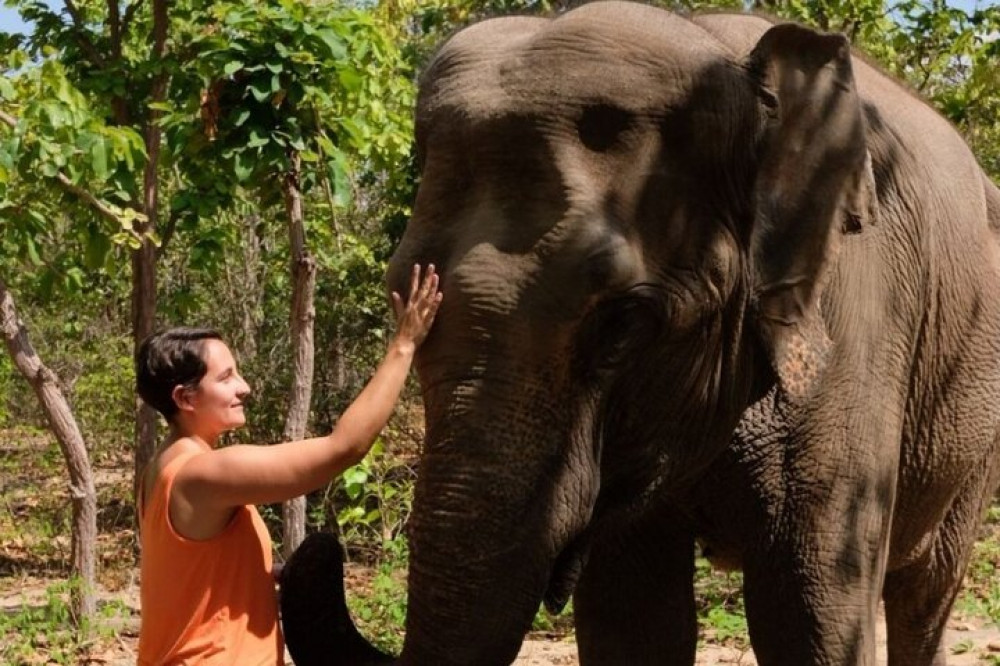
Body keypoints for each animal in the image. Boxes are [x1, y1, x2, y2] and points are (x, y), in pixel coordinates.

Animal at [280, 2, 1000, 660]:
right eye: (400, 292)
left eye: (622, 324)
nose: (323, 544)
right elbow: (634, 618)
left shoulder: (855, 320)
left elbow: (808, 612)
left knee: (923, 594)